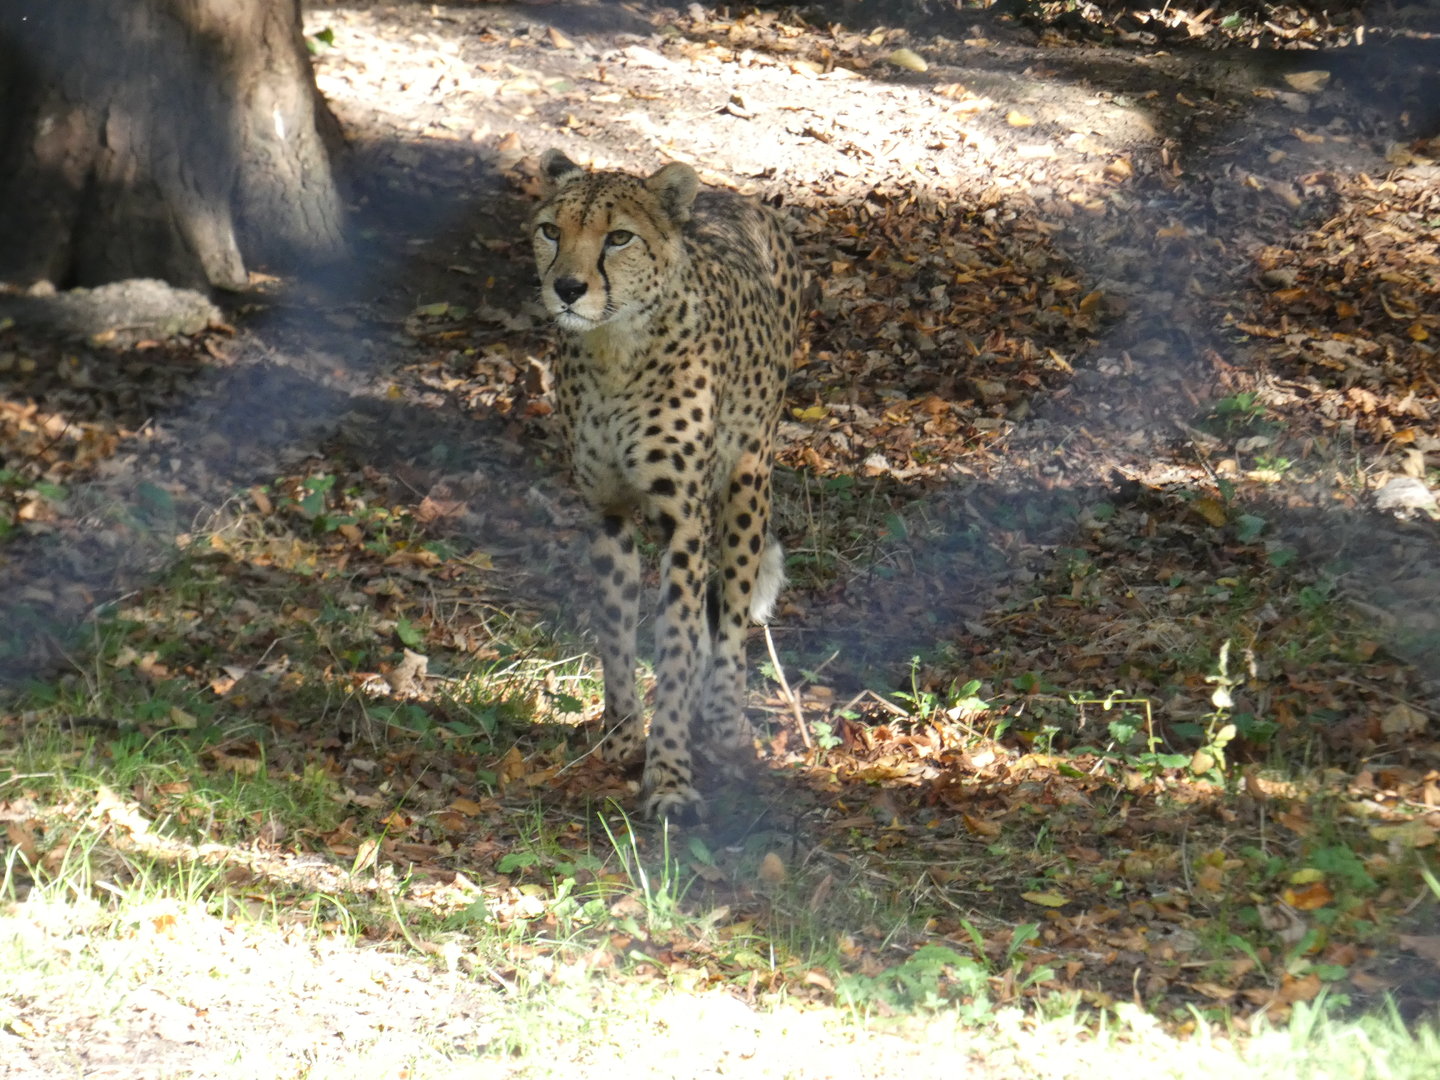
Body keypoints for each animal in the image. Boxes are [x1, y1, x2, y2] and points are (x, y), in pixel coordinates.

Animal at [529, 149, 804, 820]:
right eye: (550, 231)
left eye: (618, 237)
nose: (567, 288)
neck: (615, 351)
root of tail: (733, 197)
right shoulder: (607, 512)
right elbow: (616, 630)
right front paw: (623, 737)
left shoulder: (684, 521)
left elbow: (678, 643)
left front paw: (671, 774)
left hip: (747, 481)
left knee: (732, 611)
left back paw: (725, 717)